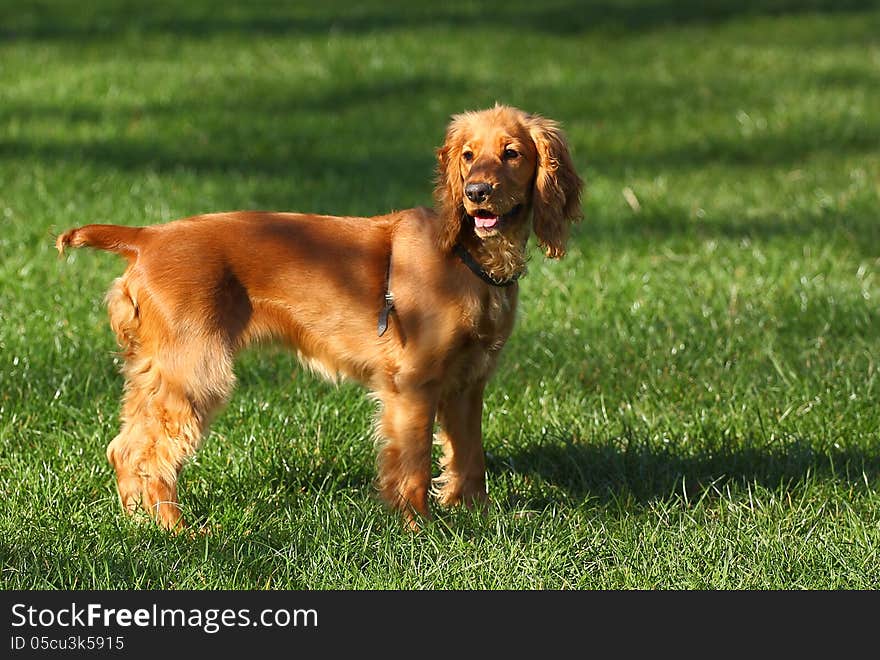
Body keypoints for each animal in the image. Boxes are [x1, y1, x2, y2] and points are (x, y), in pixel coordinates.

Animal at [53, 107, 576, 532]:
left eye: (511, 153)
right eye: (468, 156)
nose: (476, 193)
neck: (469, 257)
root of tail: (148, 236)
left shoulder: (468, 383)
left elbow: (470, 457)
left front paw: (478, 516)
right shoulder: (413, 383)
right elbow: (413, 461)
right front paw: (419, 528)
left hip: (155, 371)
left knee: (124, 446)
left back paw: (138, 522)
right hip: (195, 371)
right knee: (154, 452)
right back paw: (176, 529)